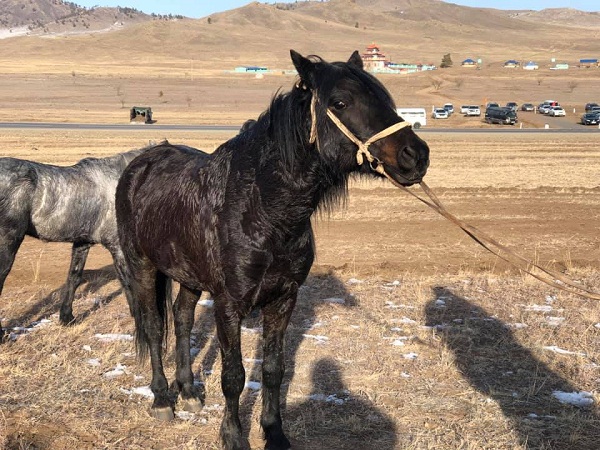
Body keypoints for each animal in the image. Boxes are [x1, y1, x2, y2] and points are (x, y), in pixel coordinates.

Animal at [115, 50, 428, 450]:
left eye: (385, 98)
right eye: (340, 103)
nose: (416, 155)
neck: (262, 208)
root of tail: (140, 163)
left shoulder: (283, 299)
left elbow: (273, 369)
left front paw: (274, 432)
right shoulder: (229, 304)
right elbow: (234, 375)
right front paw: (234, 436)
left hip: (188, 275)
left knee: (182, 319)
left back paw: (188, 390)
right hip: (142, 266)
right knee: (155, 328)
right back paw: (162, 399)